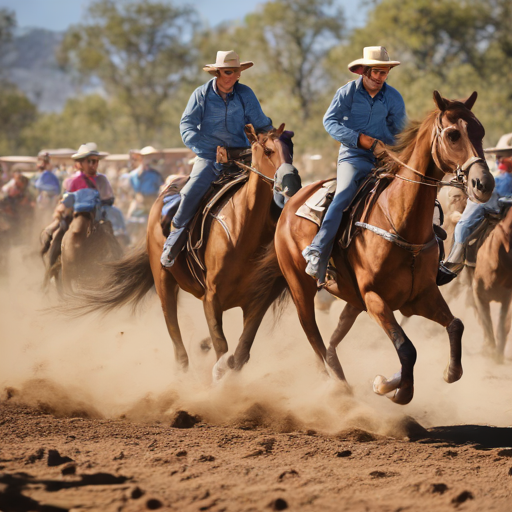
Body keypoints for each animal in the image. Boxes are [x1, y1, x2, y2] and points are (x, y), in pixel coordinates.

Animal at [73, 124, 292, 378]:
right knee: (175, 336)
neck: (242, 228)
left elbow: (240, 352)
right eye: (268, 150)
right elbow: (222, 347)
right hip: (163, 281)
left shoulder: (259, 299)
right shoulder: (211, 298)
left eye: (290, 148)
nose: (292, 182)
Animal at [276, 91, 496, 404]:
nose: (484, 184)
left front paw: (443, 373)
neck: (401, 223)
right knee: (314, 337)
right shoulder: (375, 299)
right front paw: (397, 390)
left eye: (480, 131)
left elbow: (456, 325)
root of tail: (292, 202)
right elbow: (407, 348)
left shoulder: (420, 295)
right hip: (300, 289)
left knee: (331, 342)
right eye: (453, 134)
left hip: (352, 301)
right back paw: (337, 387)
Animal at [470, 202, 512, 362]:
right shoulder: (479, 295)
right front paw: (491, 351)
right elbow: (487, 324)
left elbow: (502, 326)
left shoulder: (507, 298)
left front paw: (497, 355)